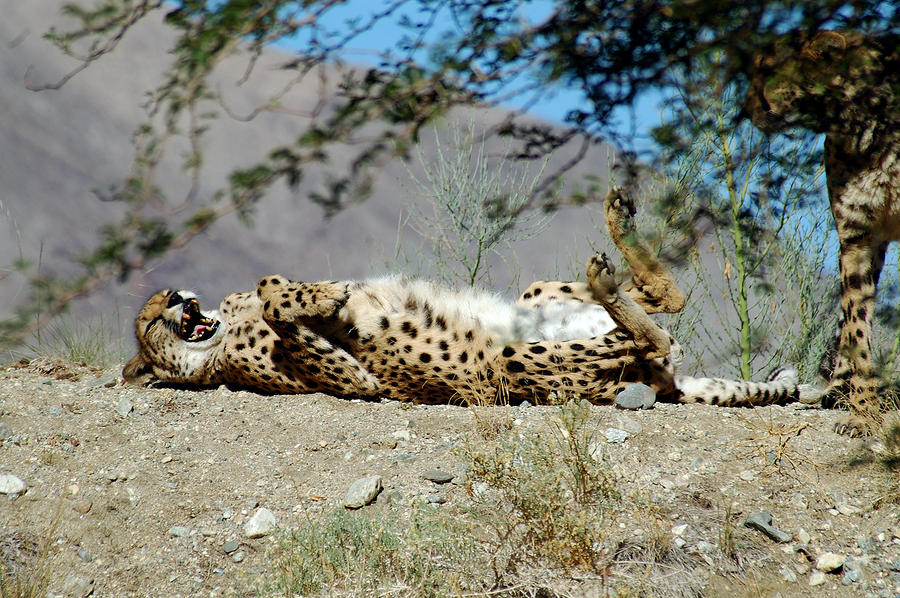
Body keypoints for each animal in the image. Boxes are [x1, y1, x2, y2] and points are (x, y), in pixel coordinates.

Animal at [125, 190, 808, 410]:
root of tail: (668, 383)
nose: (176, 296)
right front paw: (326, 297)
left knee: (668, 297)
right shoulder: (362, 383)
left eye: (157, 304)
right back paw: (611, 283)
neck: (216, 339)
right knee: (656, 333)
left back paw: (616, 228)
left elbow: (271, 288)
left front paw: (325, 292)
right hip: (514, 363)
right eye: (151, 322)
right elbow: (279, 303)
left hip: (538, 298)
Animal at [740, 29, 896, 436]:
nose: (744, 110)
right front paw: (862, 414)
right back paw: (838, 389)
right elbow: (857, 329)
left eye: (767, 69)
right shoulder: (857, 238)